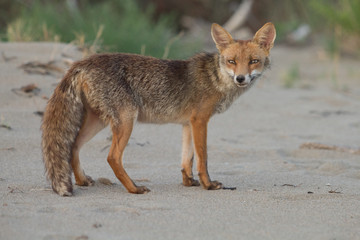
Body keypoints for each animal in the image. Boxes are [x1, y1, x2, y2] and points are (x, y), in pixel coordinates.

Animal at [42, 22, 278, 196]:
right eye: (232, 61)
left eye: (253, 61)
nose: (241, 78)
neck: (215, 78)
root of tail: (82, 63)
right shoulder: (200, 120)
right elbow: (202, 158)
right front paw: (208, 185)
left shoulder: (188, 123)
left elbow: (186, 158)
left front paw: (188, 182)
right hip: (126, 120)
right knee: (112, 157)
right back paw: (134, 188)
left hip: (98, 121)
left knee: (73, 147)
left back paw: (83, 181)